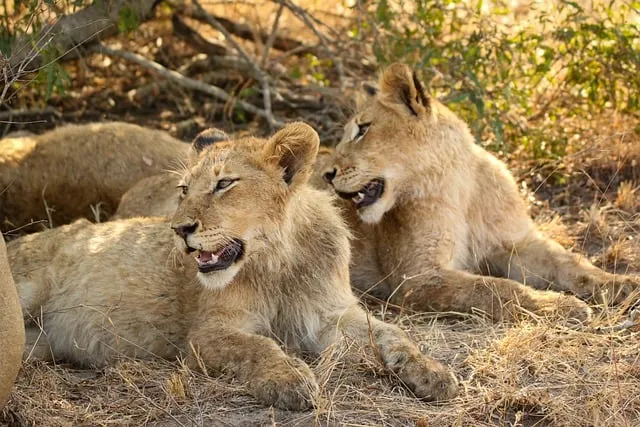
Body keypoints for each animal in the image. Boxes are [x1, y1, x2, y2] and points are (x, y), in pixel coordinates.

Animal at [320, 63, 639, 321]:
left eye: (363, 129)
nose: (327, 174)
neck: (460, 189)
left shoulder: (515, 243)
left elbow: (569, 262)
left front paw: (623, 284)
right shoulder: (416, 277)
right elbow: (493, 287)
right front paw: (561, 306)